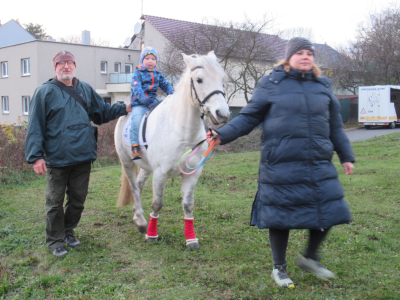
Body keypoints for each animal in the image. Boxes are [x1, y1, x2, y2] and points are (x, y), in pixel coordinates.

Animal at [114, 51, 230, 248]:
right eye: (199, 80)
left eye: (222, 78)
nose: (222, 114)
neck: (181, 131)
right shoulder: (160, 173)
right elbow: (157, 203)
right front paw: (151, 235)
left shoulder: (193, 174)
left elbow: (188, 205)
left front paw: (191, 239)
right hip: (127, 162)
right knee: (134, 187)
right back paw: (141, 222)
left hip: (146, 167)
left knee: (139, 184)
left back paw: (137, 215)